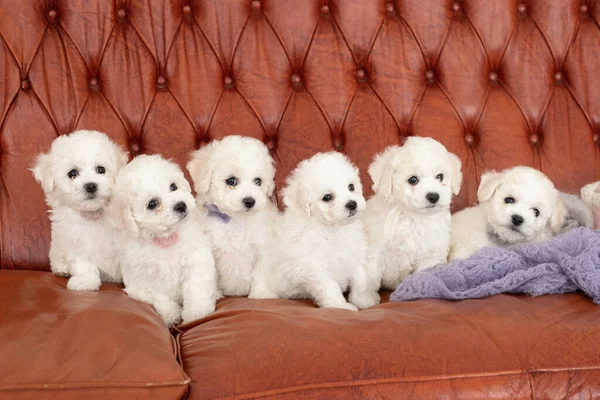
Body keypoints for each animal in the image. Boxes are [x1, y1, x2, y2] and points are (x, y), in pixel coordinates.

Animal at [31, 131, 127, 290]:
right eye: (72, 173)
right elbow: (83, 263)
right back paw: (63, 269)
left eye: (101, 169)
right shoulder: (76, 241)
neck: (93, 214)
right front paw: (85, 282)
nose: (91, 186)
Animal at [109, 155, 219, 326]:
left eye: (173, 186)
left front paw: (197, 311)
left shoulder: (195, 261)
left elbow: (196, 287)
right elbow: (158, 296)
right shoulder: (143, 277)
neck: (166, 239)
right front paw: (170, 314)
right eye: (152, 204)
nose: (181, 205)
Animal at [186, 136, 278, 296]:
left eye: (258, 181)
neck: (235, 220)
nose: (250, 201)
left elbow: (260, 273)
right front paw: (215, 295)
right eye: (231, 181)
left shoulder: (264, 248)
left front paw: (260, 295)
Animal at [246, 152, 378, 310]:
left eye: (351, 187)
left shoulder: (355, 256)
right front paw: (340, 306)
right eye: (327, 197)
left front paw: (365, 300)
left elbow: (360, 281)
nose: (352, 204)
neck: (331, 229)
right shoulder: (314, 267)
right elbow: (330, 287)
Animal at [360, 138, 464, 290]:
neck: (412, 217)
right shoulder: (375, 251)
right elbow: (369, 277)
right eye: (413, 180)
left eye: (440, 177)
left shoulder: (430, 255)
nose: (433, 196)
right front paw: (365, 296)